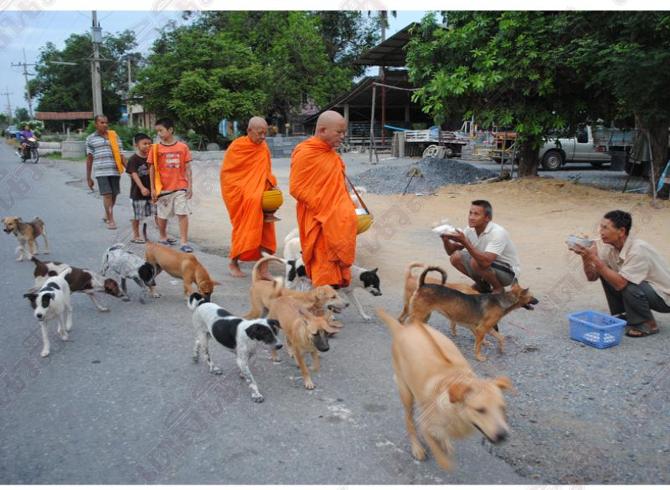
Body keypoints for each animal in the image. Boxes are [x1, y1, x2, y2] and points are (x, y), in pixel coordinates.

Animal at [378, 306, 516, 470]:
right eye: (480, 410)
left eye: (502, 408)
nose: (503, 435)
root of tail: (403, 329)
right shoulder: (425, 425)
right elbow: (437, 450)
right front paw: (442, 459)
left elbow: (444, 437)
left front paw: (445, 443)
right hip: (406, 394)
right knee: (409, 422)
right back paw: (416, 447)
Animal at [406, 266, 540, 362]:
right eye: (531, 296)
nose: (538, 301)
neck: (503, 301)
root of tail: (423, 284)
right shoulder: (482, 329)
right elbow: (478, 345)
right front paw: (479, 357)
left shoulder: (487, 328)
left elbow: (500, 338)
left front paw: (501, 349)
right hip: (419, 315)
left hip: (424, 315)